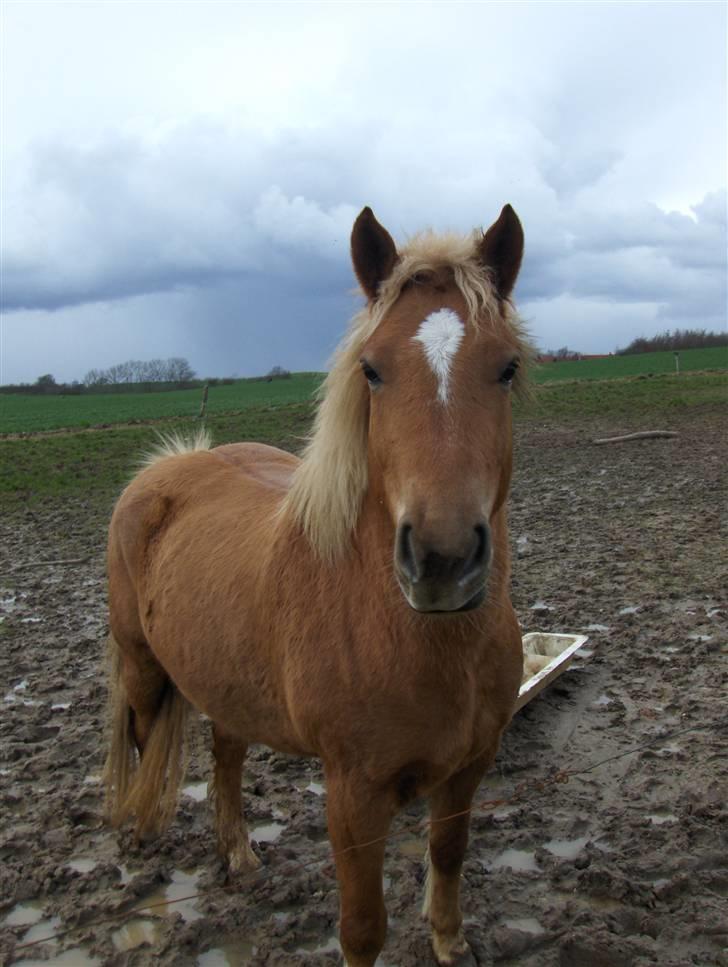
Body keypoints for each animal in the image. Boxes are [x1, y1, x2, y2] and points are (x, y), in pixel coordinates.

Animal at [105, 204, 528, 967]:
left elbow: (448, 854)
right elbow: (361, 926)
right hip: (144, 668)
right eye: (372, 369)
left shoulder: (468, 768)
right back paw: (144, 841)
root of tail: (168, 466)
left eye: (507, 366)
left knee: (227, 756)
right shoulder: (353, 793)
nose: (443, 559)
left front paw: (451, 941)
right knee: (146, 743)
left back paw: (240, 856)